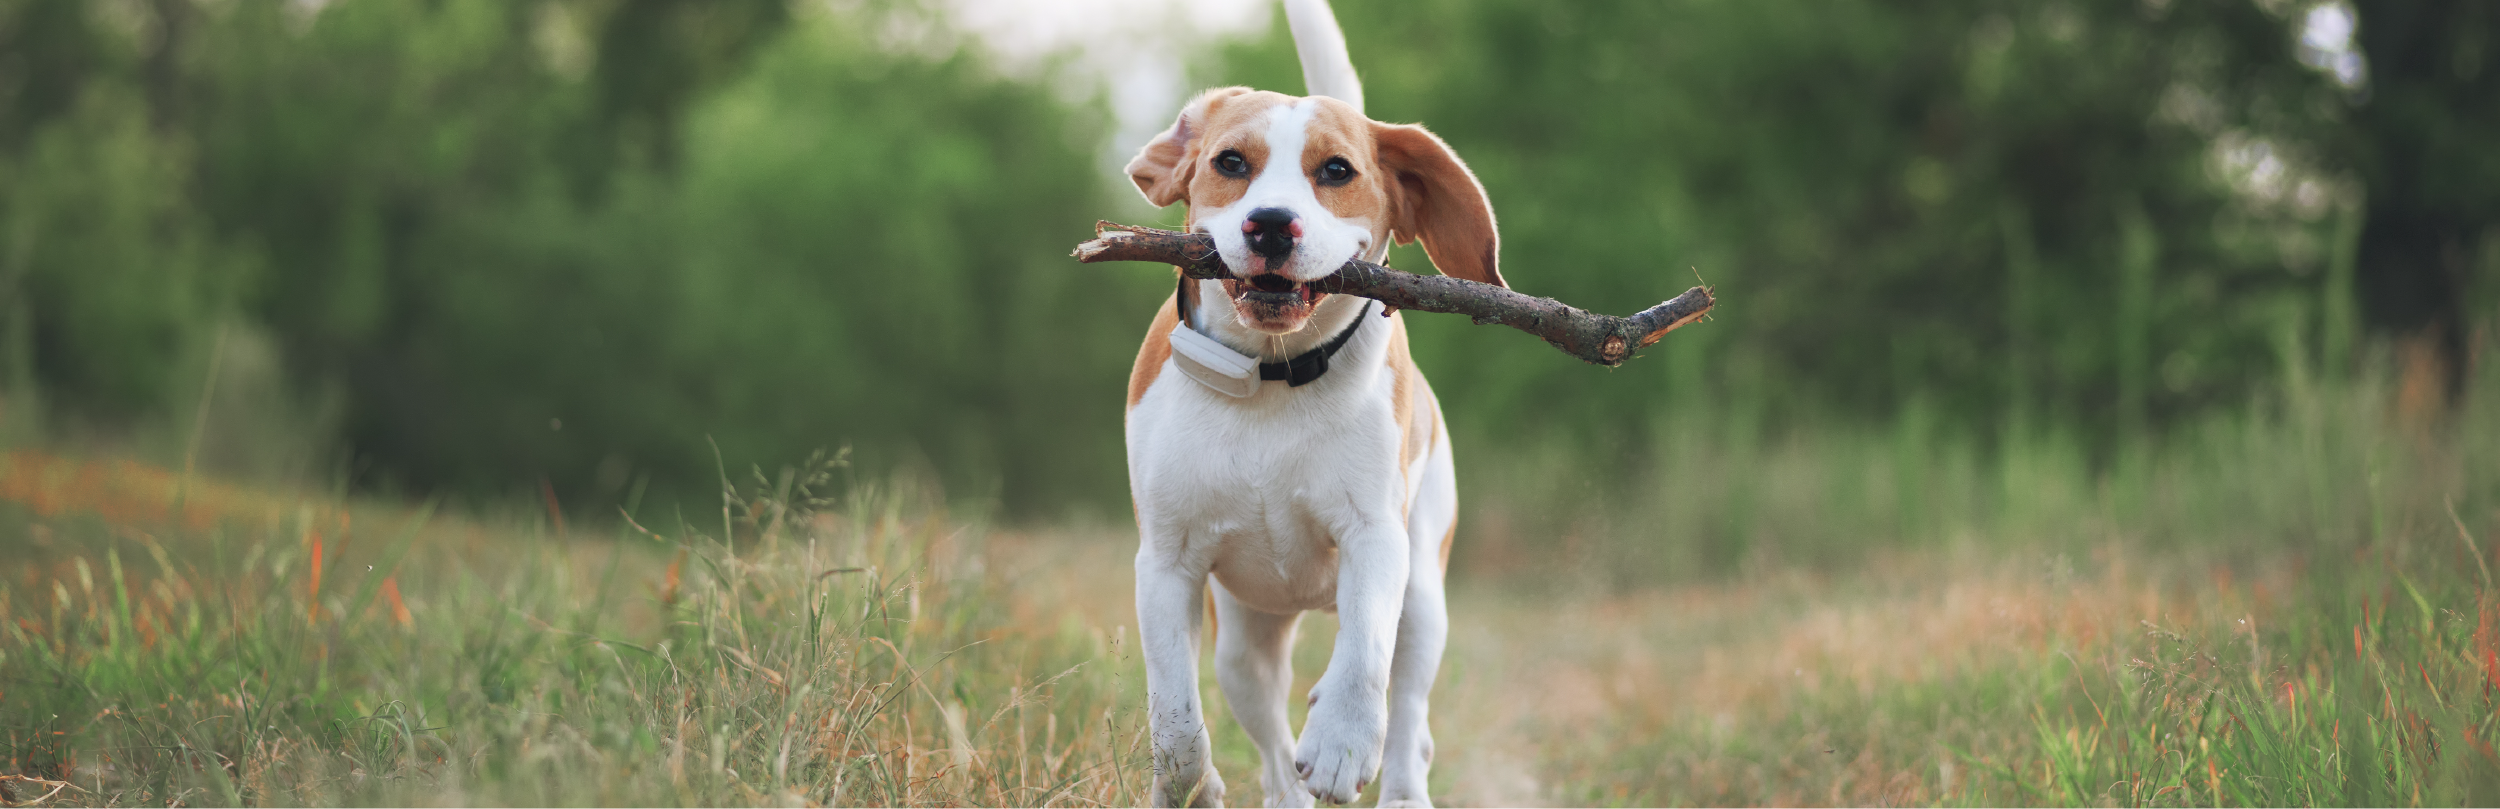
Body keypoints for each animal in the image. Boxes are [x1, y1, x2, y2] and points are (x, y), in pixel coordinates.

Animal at [1120, 0, 1500, 804]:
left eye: (1337, 171)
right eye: (1231, 163)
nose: (1270, 223)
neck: (1270, 378)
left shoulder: (1375, 535)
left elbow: (1363, 654)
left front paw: (1342, 739)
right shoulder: (1164, 562)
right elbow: (1174, 714)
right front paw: (1189, 783)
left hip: (1425, 595)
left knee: (1408, 713)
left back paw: (1399, 781)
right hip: (1243, 641)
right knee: (1267, 741)